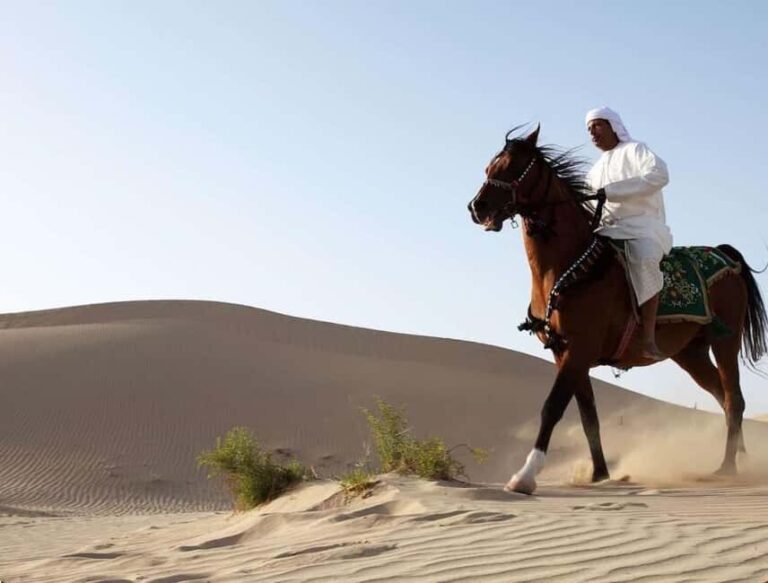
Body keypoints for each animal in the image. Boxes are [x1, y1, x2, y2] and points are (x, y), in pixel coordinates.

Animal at [467, 125, 767, 495]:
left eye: (512, 166)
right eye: (489, 167)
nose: (477, 207)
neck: (570, 267)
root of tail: (726, 255)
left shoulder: (579, 350)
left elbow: (553, 407)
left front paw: (525, 476)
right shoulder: (565, 353)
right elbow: (588, 416)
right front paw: (600, 474)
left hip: (725, 341)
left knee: (734, 398)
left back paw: (727, 467)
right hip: (690, 353)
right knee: (723, 397)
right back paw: (740, 457)